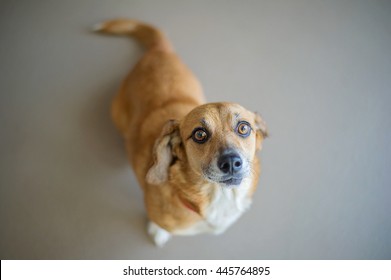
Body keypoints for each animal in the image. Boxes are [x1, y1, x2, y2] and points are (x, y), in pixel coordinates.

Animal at [94, 19, 270, 247]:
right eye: (199, 134)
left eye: (243, 128)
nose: (231, 162)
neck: (217, 196)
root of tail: (159, 50)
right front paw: (158, 231)